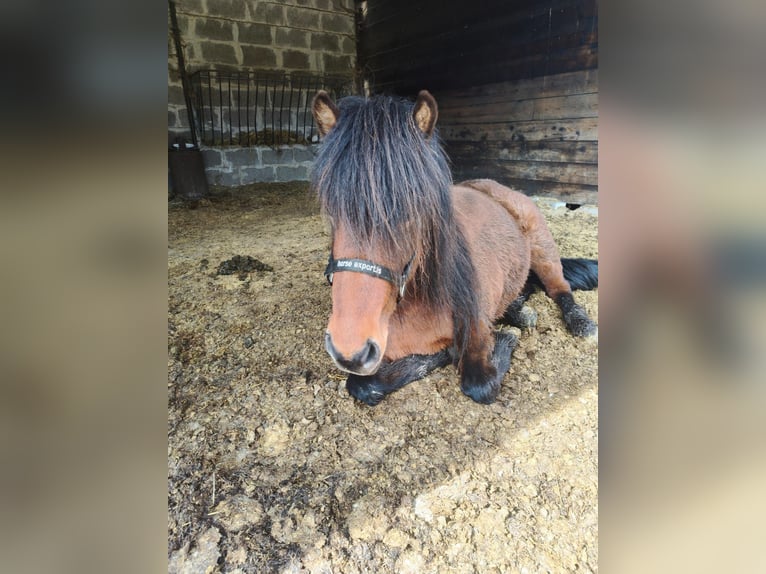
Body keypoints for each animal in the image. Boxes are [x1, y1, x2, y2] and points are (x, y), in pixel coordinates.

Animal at [308, 89, 596, 410]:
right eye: (331, 211)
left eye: (413, 211)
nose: (350, 350)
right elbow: (361, 385)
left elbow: (479, 385)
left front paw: (503, 339)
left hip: (543, 250)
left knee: (560, 290)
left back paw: (581, 324)